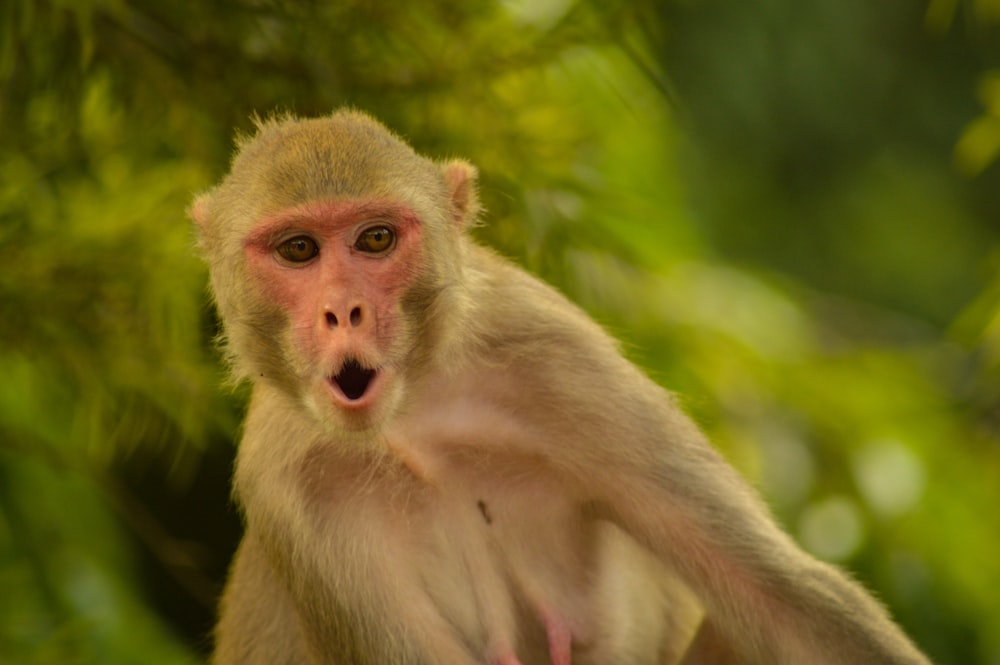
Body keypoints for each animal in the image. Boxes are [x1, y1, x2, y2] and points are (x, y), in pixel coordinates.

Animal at [191, 110, 932, 664]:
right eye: (298, 249)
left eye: (375, 239)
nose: (343, 310)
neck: (414, 415)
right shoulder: (291, 488)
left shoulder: (555, 355)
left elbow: (785, 596)